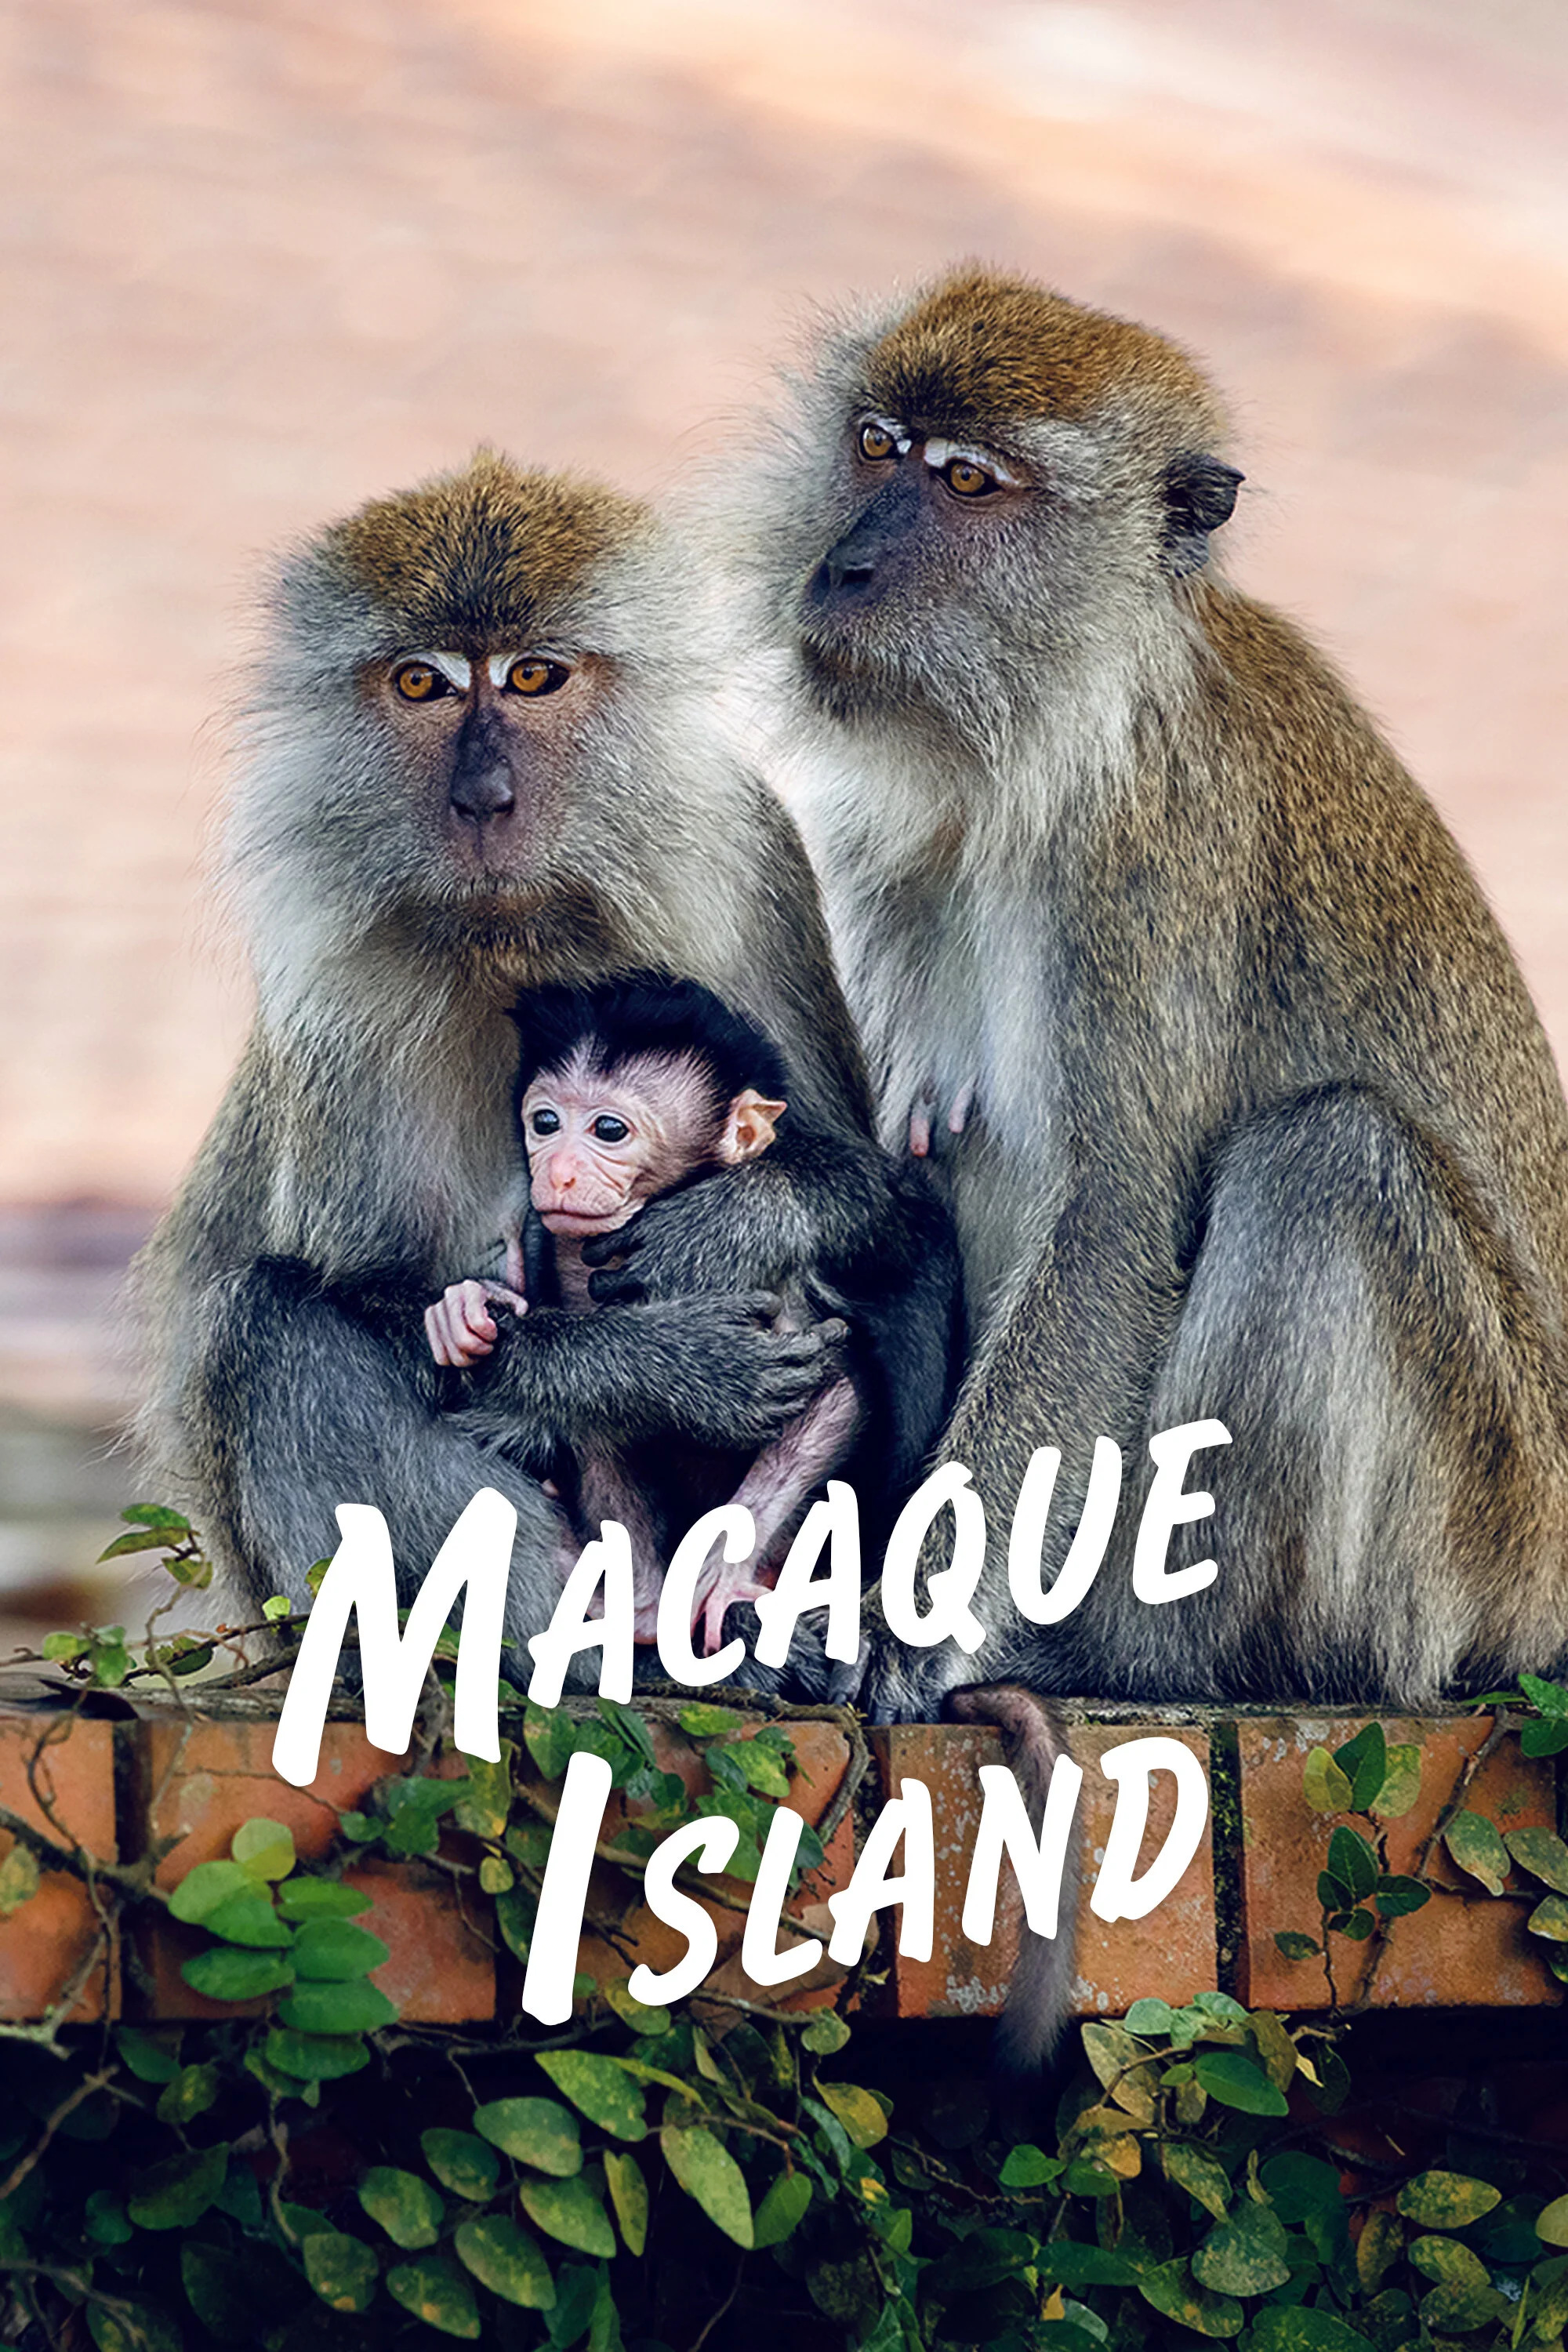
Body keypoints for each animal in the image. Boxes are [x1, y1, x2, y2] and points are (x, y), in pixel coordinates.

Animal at [425, 972, 963, 1659]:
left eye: (608, 1130)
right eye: (545, 1122)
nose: (559, 1172)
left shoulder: (765, 1286)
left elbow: (832, 1394)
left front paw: (728, 1565)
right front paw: (465, 1314)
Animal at [727, 263, 1568, 1732]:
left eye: (969, 482)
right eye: (877, 446)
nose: (846, 566)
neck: (1057, 733)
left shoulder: (1145, 856)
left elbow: (1110, 1221)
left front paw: (904, 1621)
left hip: (1489, 1539)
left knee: (1329, 1164)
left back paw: (1157, 1658)